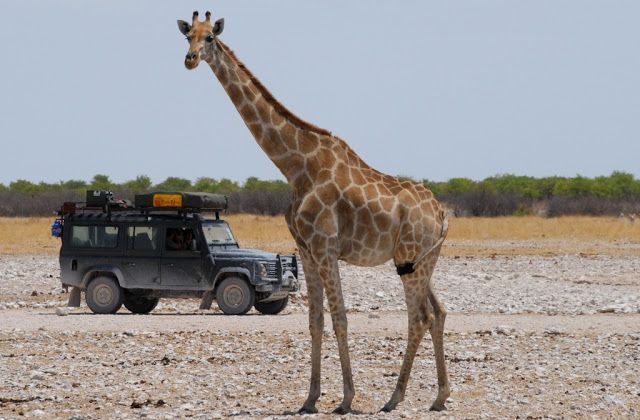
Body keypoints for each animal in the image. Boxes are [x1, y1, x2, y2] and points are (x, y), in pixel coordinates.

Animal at [179, 10, 450, 414]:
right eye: (187, 36)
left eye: (210, 36)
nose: (191, 59)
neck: (295, 167)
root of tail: (441, 212)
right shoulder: (305, 250)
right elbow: (315, 320)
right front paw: (310, 399)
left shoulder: (325, 246)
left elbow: (340, 318)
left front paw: (346, 399)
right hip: (420, 260)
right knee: (439, 313)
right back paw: (439, 397)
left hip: (411, 259)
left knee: (420, 317)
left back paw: (393, 398)